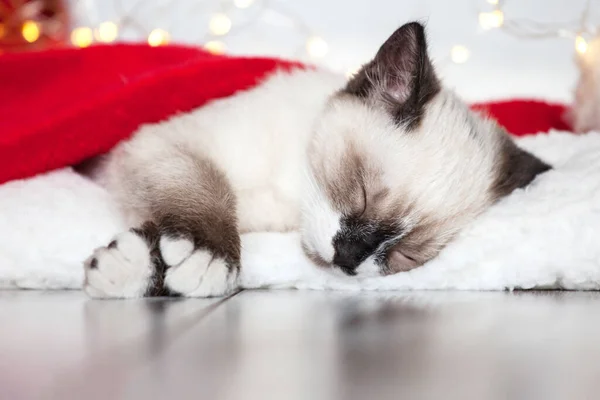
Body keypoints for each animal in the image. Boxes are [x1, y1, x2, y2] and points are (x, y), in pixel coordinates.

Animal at [82, 21, 552, 296]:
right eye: (360, 192)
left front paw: (131, 267)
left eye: (407, 254)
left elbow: (167, 218)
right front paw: (209, 258)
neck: (292, 191)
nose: (348, 259)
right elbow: (205, 192)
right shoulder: (164, 145)